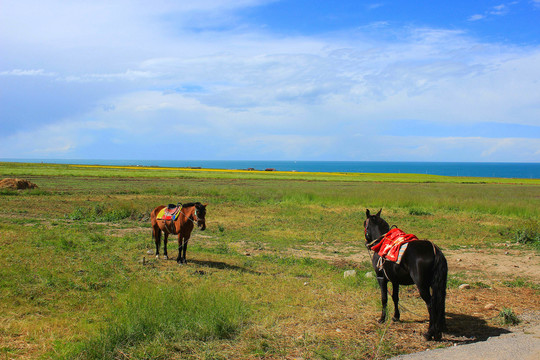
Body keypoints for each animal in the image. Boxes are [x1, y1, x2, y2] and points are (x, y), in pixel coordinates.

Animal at [364, 208, 450, 340]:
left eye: (365, 225)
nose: (367, 243)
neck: (382, 242)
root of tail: (435, 251)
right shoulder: (395, 280)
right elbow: (395, 297)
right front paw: (396, 316)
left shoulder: (381, 278)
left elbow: (384, 298)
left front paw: (382, 318)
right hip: (438, 284)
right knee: (440, 301)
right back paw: (439, 332)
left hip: (422, 285)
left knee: (431, 304)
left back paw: (429, 333)